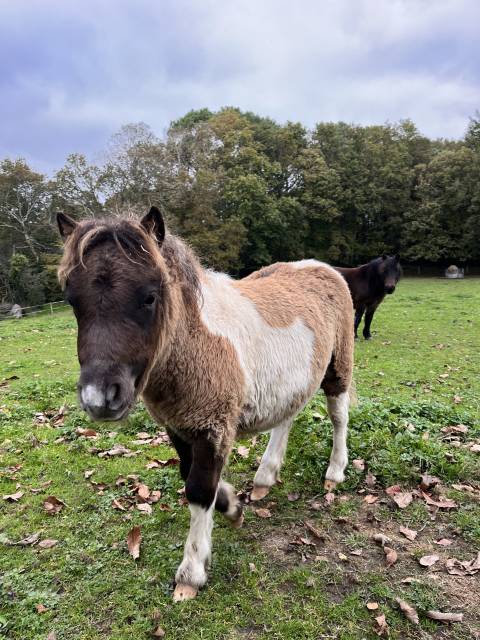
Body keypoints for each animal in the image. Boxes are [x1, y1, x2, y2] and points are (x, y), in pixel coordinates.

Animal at [57, 209, 356, 600]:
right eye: (72, 300)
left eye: (150, 297)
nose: (99, 398)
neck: (194, 342)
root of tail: (321, 266)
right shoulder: (179, 425)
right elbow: (191, 477)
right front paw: (233, 505)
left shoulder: (213, 425)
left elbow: (199, 489)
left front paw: (192, 571)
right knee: (287, 416)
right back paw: (264, 477)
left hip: (338, 365)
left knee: (338, 417)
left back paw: (335, 471)